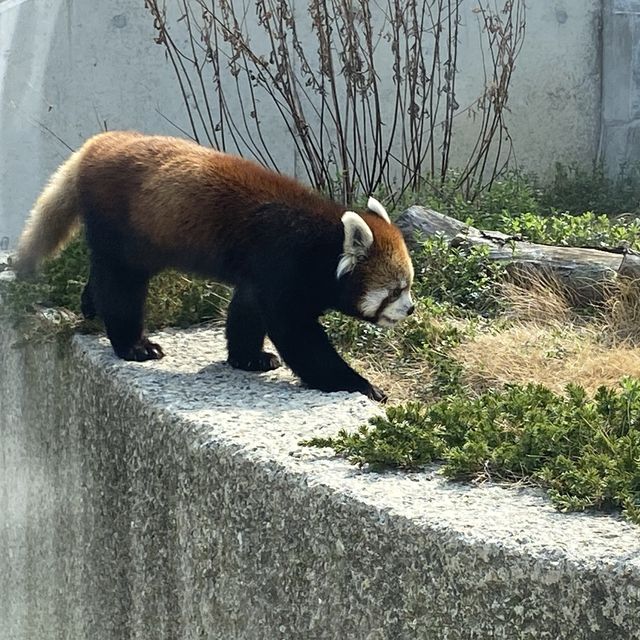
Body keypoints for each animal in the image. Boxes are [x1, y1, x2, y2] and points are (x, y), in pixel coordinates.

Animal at [15, 131, 418, 400]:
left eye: (410, 286)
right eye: (396, 290)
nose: (411, 308)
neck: (322, 244)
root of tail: (98, 143)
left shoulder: (260, 274)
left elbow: (246, 311)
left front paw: (248, 358)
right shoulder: (283, 264)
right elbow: (299, 336)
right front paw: (360, 385)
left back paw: (91, 303)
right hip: (125, 225)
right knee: (122, 284)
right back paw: (134, 345)